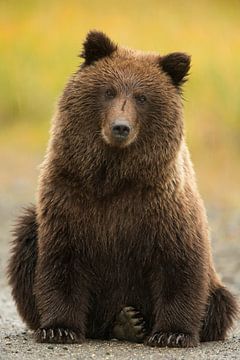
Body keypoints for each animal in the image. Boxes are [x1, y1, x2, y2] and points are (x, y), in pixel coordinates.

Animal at [7, 31, 238, 348]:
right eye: (109, 91)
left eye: (142, 97)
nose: (120, 127)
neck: (113, 176)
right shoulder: (68, 196)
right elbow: (61, 260)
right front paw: (59, 328)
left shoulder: (164, 206)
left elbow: (179, 264)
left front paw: (172, 333)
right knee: (26, 240)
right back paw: (124, 322)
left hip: (216, 291)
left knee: (220, 304)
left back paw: (131, 321)